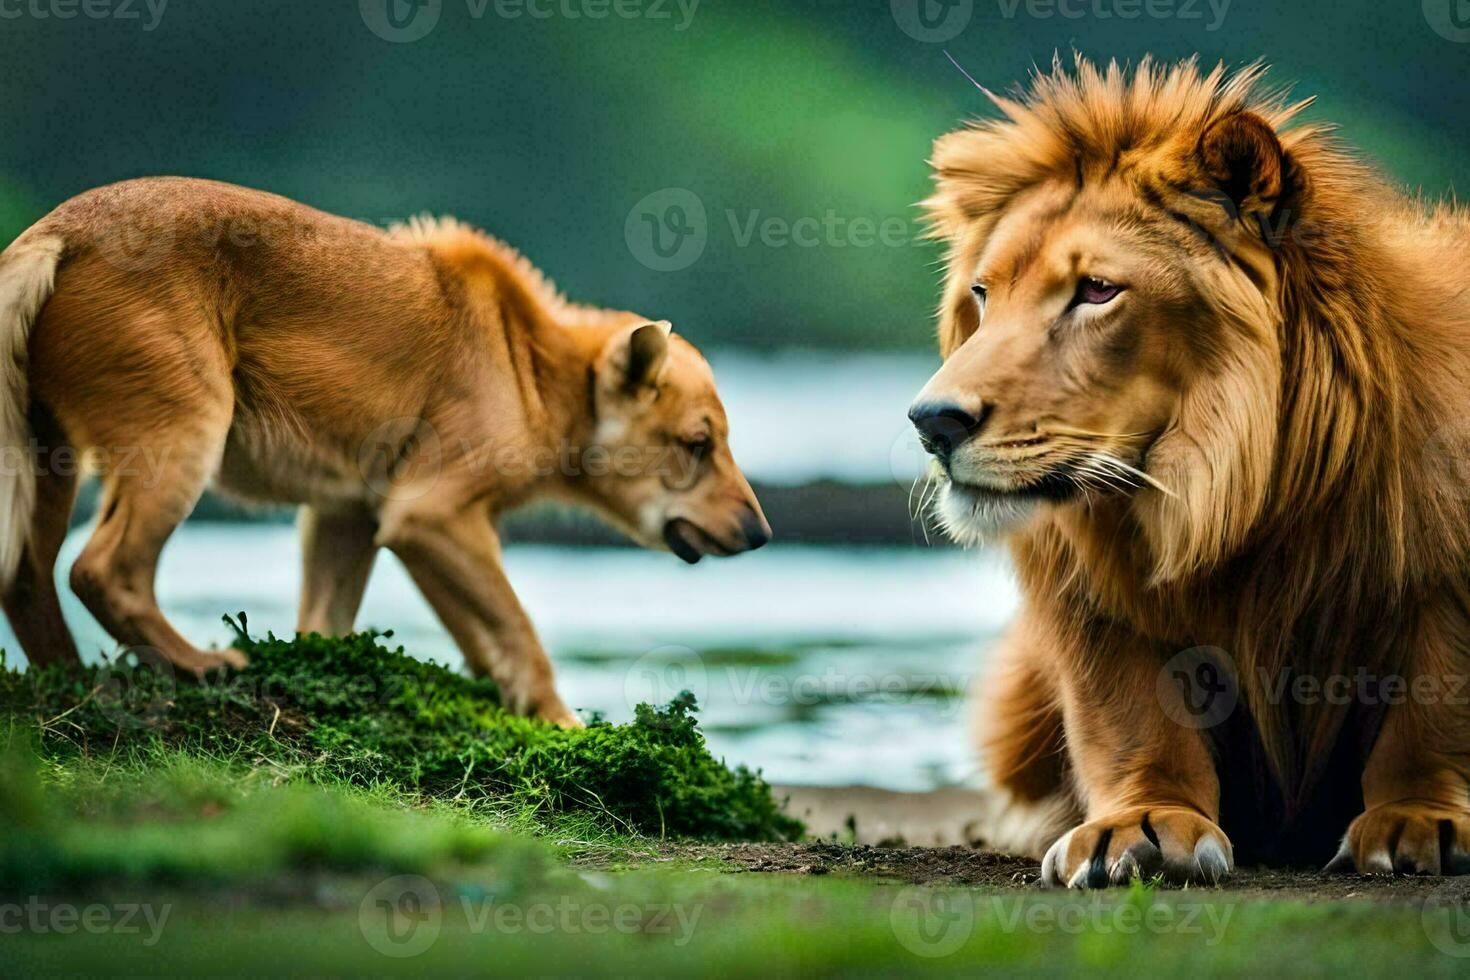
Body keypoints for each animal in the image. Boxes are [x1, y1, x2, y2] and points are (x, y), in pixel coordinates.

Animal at [0, 179, 776, 725]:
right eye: (698, 443)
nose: (761, 533)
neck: (530, 362)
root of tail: (53, 236)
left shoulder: (347, 516)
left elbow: (342, 626)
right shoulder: (431, 515)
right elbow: (519, 635)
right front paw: (565, 725)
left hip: (48, 454)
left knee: (29, 579)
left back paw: (73, 684)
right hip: (184, 433)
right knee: (104, 571)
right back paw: (202, 663)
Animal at [911, 59, 1470, 887]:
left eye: (1097, 290)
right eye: (984, 294)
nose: (933, 422)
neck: (1230, 493)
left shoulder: (1442, 574)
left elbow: (1435, 710)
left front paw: (1420, 818)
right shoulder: (1097, 602)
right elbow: (1131, 717)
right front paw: (1138, 823)